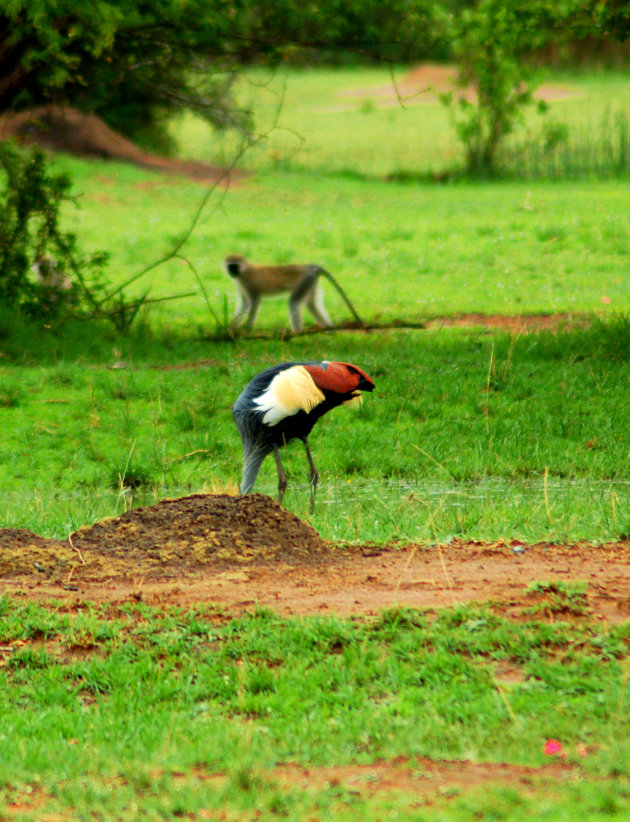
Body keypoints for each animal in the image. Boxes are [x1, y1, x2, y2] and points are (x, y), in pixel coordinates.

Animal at [223, 258, 366, 334]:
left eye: (235, 265)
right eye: (230, 266)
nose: (232, 272)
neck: (243, 271)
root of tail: (309, 266)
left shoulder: (247, 282)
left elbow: (254, 301)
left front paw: (247, 329)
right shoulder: (240, 284)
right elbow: (245, 304)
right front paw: (232, 328)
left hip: (305, 279)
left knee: (294, 302)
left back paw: (296, 334)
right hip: (311, 281)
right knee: (312, 305)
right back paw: (328, 329)